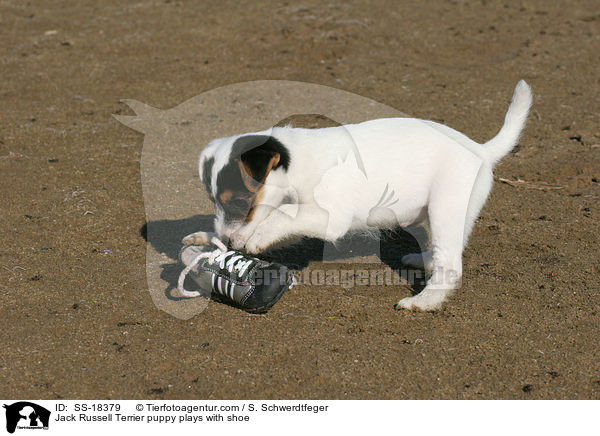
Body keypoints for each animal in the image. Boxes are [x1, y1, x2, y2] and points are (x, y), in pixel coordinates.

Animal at [185, 81, 532, 310]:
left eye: (239, 202)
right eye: (216, 203)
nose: (227, 241)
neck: (299, 161)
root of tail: (481, 150)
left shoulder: (330, 217)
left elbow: (282, 216)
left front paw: (256, 237)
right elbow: (282, 216)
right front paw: (207, 238)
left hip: (445, 207)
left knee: (451, 264)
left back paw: (425, 301)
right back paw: (422, 260)